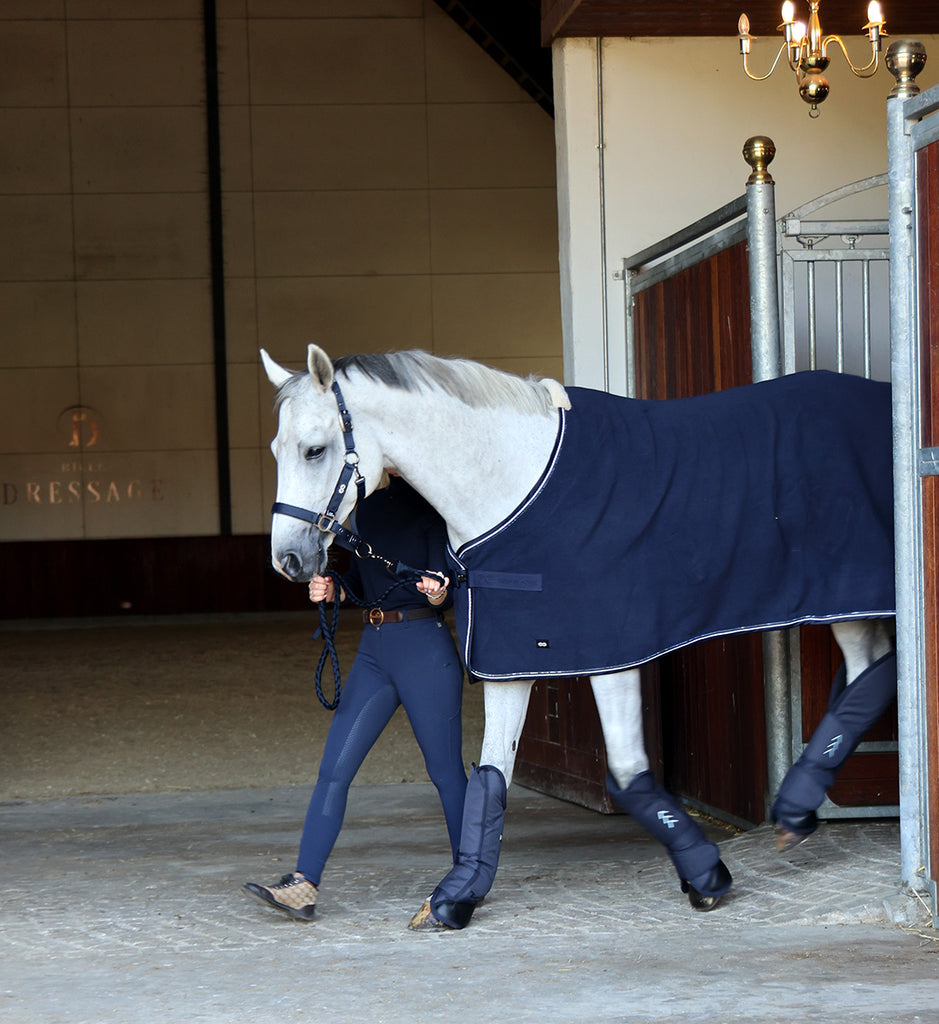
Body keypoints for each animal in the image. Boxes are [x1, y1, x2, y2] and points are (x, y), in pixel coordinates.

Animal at [262, 344, 892, 929]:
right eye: (275, 450)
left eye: (314, 449)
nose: (288, 561)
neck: (510, 483)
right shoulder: (510, 654)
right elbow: (492, 773)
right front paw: (457, 895)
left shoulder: (610, 652)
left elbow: (627, 771)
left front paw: (706, 874)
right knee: (875, 668)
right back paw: (800, 808)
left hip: (845, 596)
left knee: (875, 670)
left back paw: (794, 809)